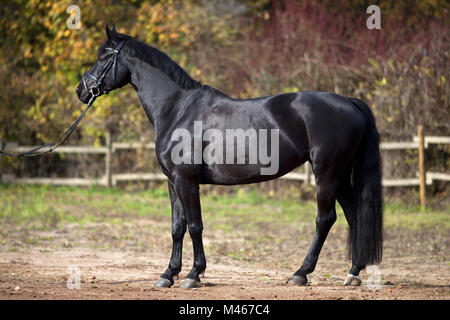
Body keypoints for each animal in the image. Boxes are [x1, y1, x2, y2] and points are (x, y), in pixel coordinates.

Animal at [75, 26, 382, 288]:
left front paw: (193, 275)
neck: (178, 109)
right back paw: (353, 273)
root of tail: (348, 102)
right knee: (353, 215)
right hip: (338, 176)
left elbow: (195, 226)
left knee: (325, 219)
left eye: (103, 57)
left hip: (326, 174)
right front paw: (167, 275)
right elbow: (177, 227)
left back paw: (301, 273)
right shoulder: (173, 182)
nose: (81, 91)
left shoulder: (186, 181)